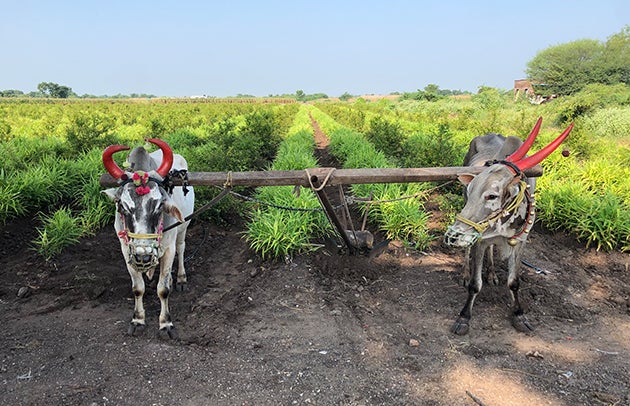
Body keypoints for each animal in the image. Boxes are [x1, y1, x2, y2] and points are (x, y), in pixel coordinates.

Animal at [102, 139, 195, 339]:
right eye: (122, 206)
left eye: (159, 205)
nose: (143, 255)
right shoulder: (126, 250)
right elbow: (138, 288)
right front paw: (137, 320)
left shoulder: (168, 248)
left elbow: (163, 289)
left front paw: (166, 324)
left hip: (183, 227)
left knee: (182, 248)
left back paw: (181, 278)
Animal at [444, 118, 573, 335]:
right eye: (471, 190)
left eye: (492, 196)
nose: (453, 235)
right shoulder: (479, 239)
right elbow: (475, 284)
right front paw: (463, 317)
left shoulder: (520, 242)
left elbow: (513, 282)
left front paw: (519, 315)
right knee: (470, 250)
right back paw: (466, 273)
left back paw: (492, 273)